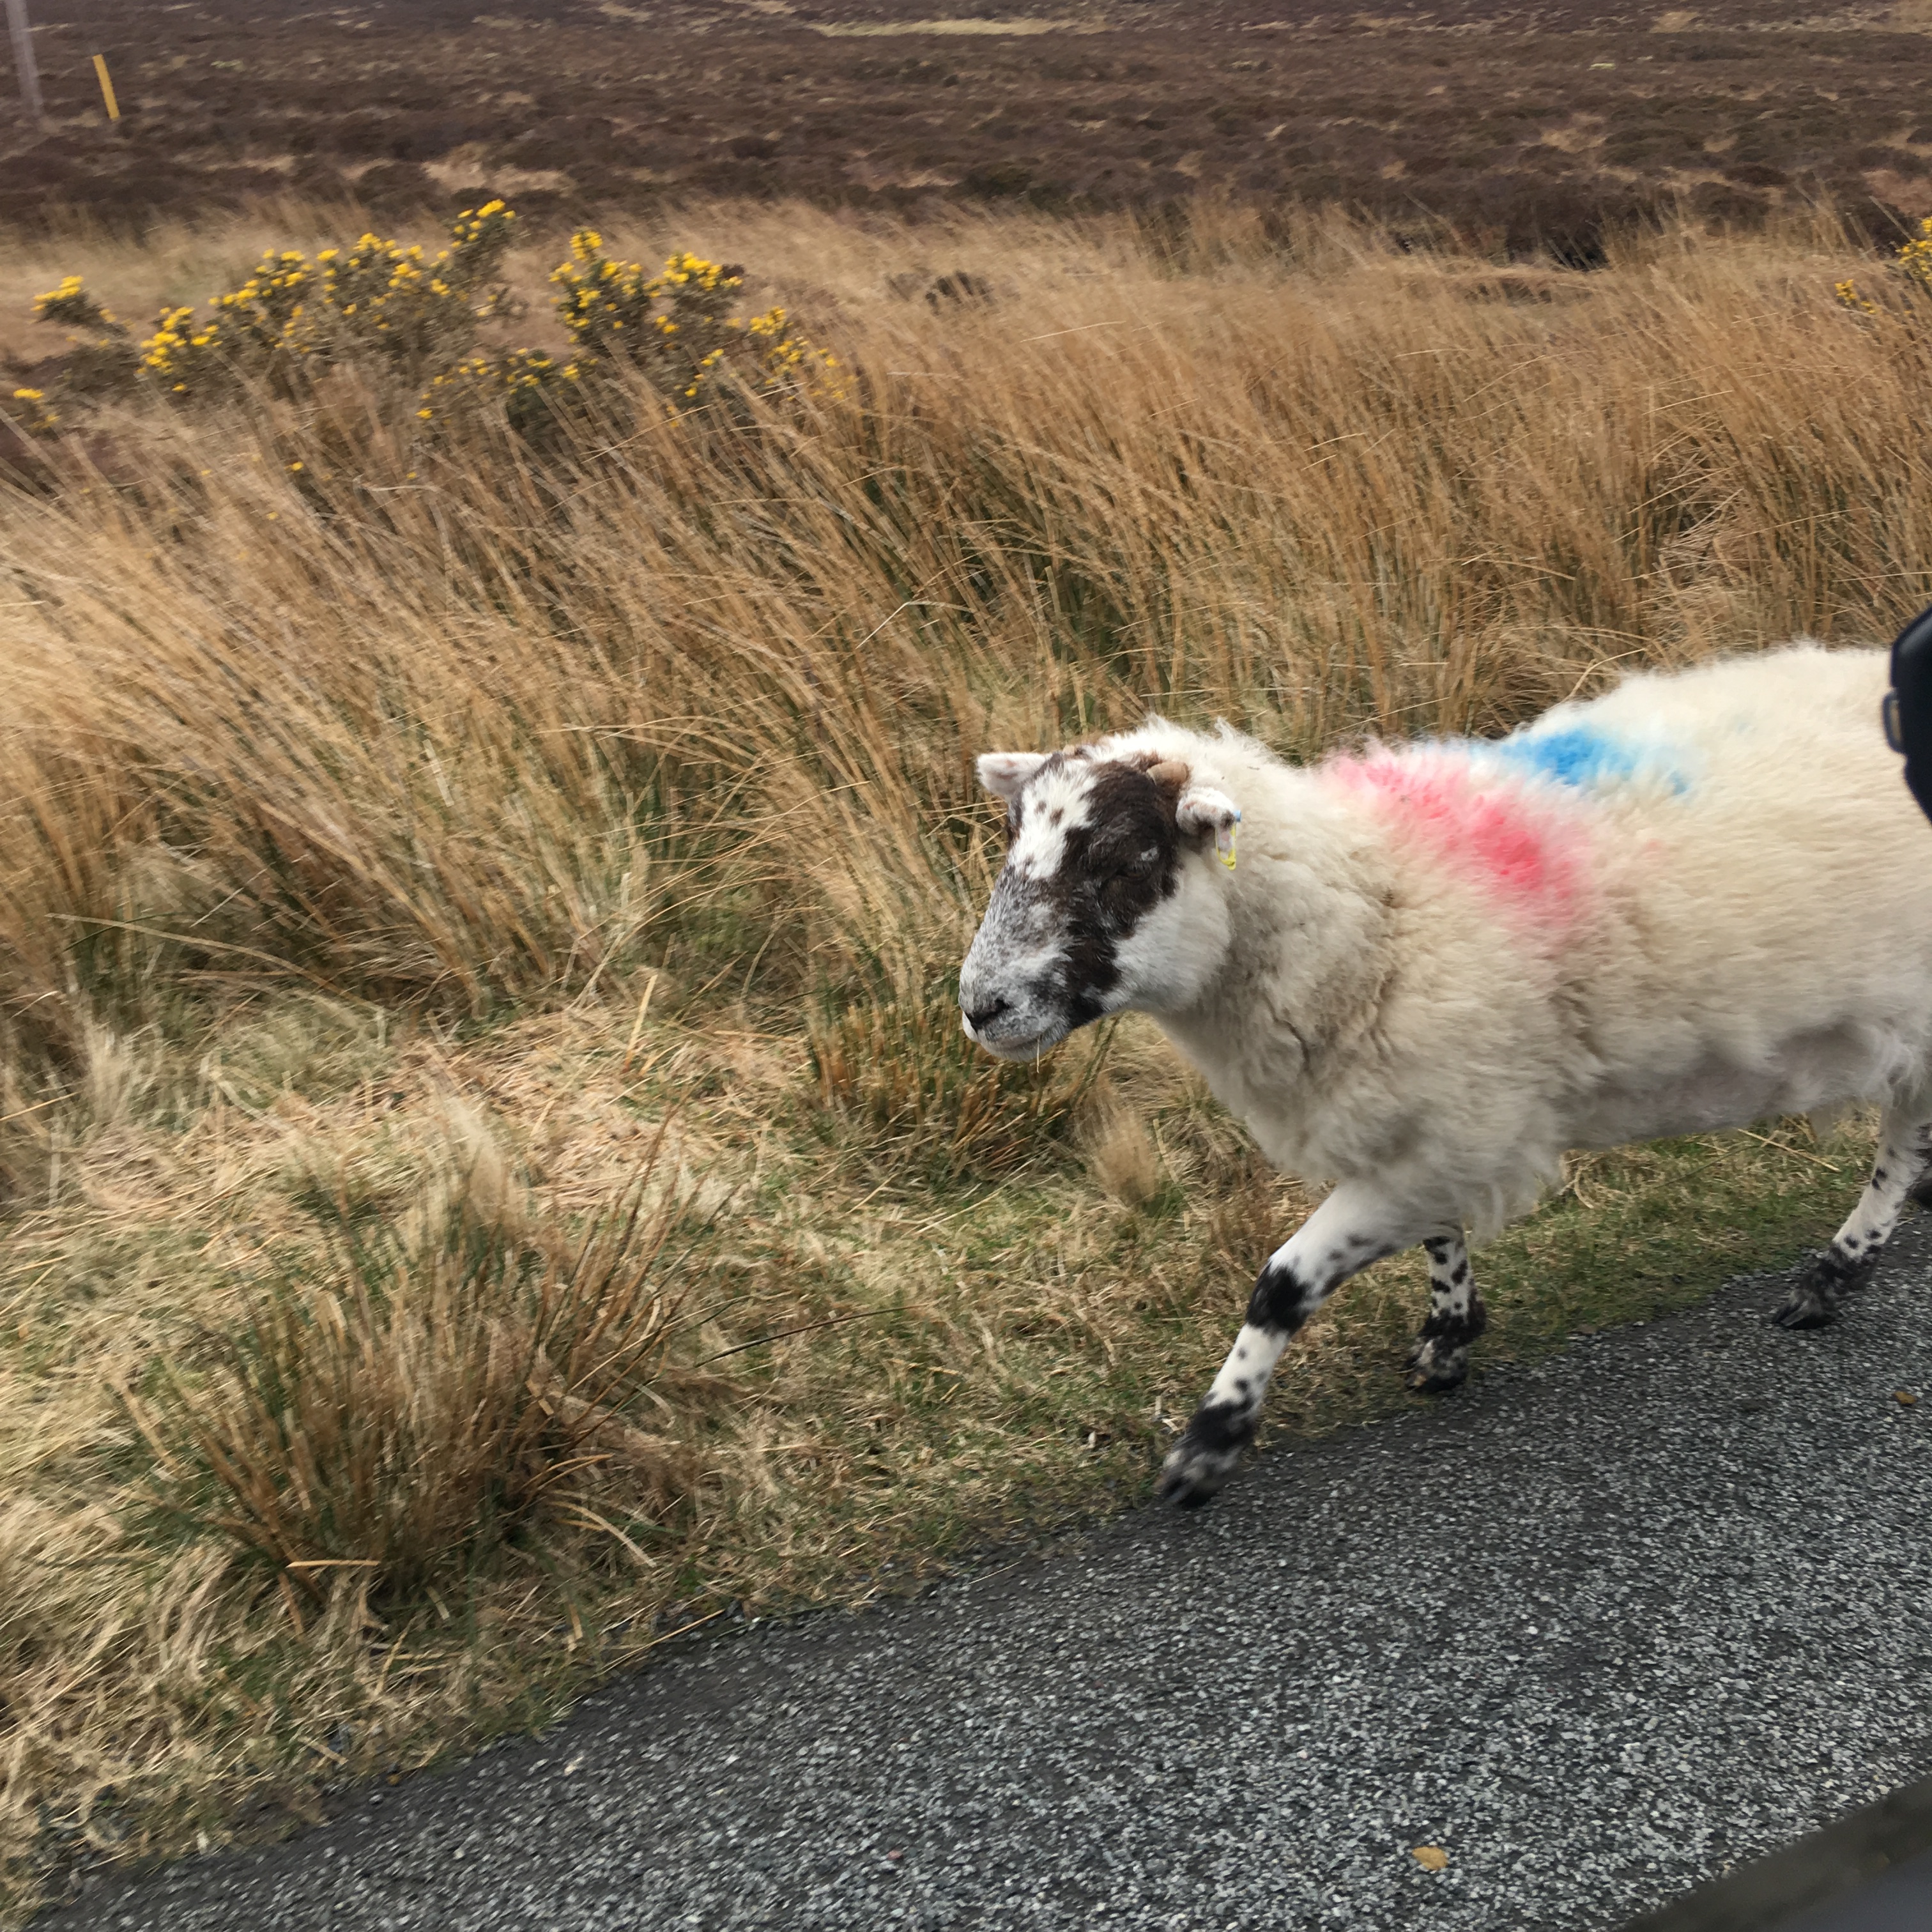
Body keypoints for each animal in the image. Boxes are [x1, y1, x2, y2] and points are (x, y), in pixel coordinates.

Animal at [958, 645, 1932, 1506]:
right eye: (1010, 846)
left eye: (1127, 860)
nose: (980, 1007)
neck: (1369, 906)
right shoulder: (1430, 1118)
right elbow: (1436, 1241)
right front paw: (1448, 1337)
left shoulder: (1457, 1121)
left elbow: (1282, 1283)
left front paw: (1210, 1442)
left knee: (1900, 1137)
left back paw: (1836, 1273)